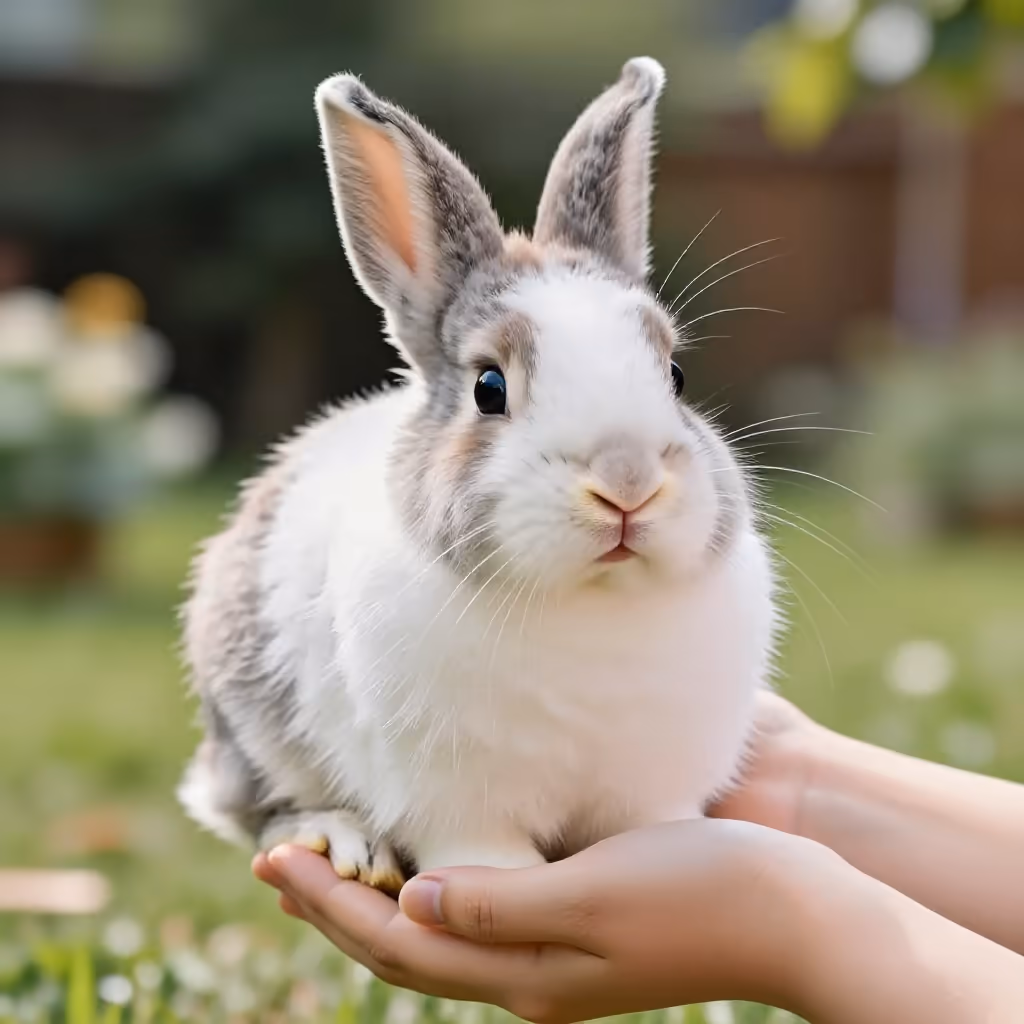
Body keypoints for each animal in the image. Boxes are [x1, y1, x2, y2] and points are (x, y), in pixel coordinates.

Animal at [178, 56, 780, 895]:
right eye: (488, 388)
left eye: (677, 376)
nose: (626, 483)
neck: (589, 607)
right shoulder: (455, 798)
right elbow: (476, 846)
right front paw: (494, 874)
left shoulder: (650, 788)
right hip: (251, 725)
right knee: (264, 810)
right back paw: (344, 841)